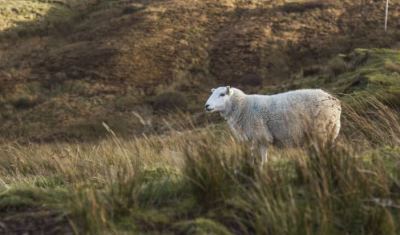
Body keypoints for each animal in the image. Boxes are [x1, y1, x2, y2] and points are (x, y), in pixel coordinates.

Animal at [206, 86, 340, 165]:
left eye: (222, 94)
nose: (206, 106)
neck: (243, 106)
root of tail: (335, 101)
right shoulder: (257, 138)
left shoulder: (261, 135)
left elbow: (262, 155)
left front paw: (262, 169)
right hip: (330, 129)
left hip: (321, 129)